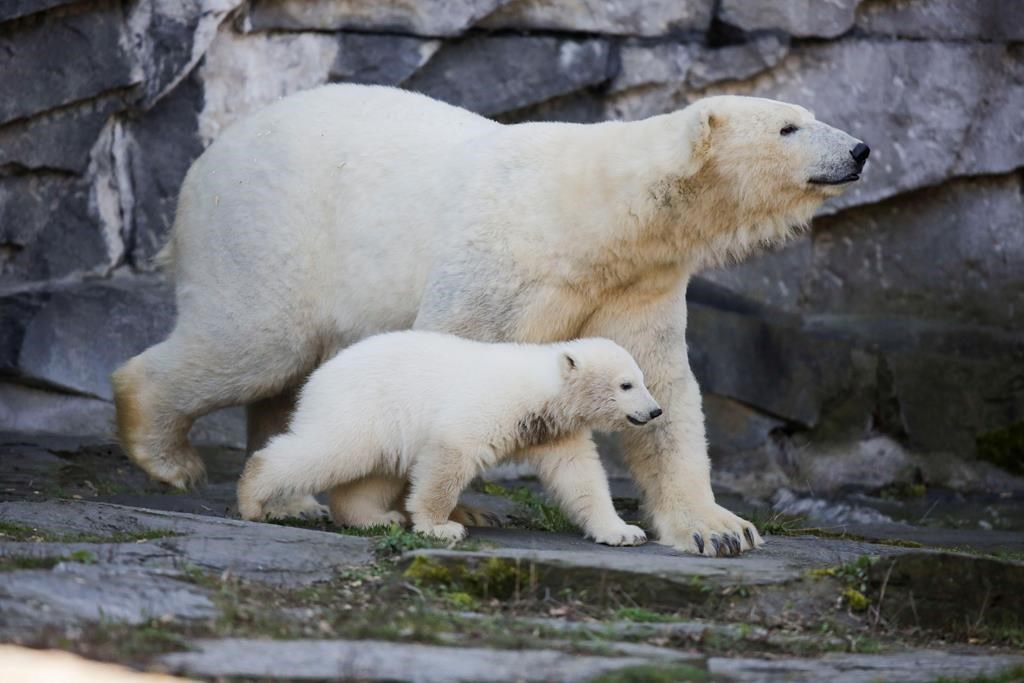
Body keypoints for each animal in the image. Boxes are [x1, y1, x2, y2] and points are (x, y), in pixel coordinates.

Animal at [236, 331, 660, 545]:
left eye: (642, 379)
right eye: (626, 384)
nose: (655, 411)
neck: (541, 389)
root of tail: (317, 375)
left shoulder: (553, 430)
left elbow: (581, 476)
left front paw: (624, 532)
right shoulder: (491, 405)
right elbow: (450, 455)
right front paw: (441, 527)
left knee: (373, 473)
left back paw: (376, 518)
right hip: (361, 407)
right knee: (330, 451)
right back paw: (253, 500)